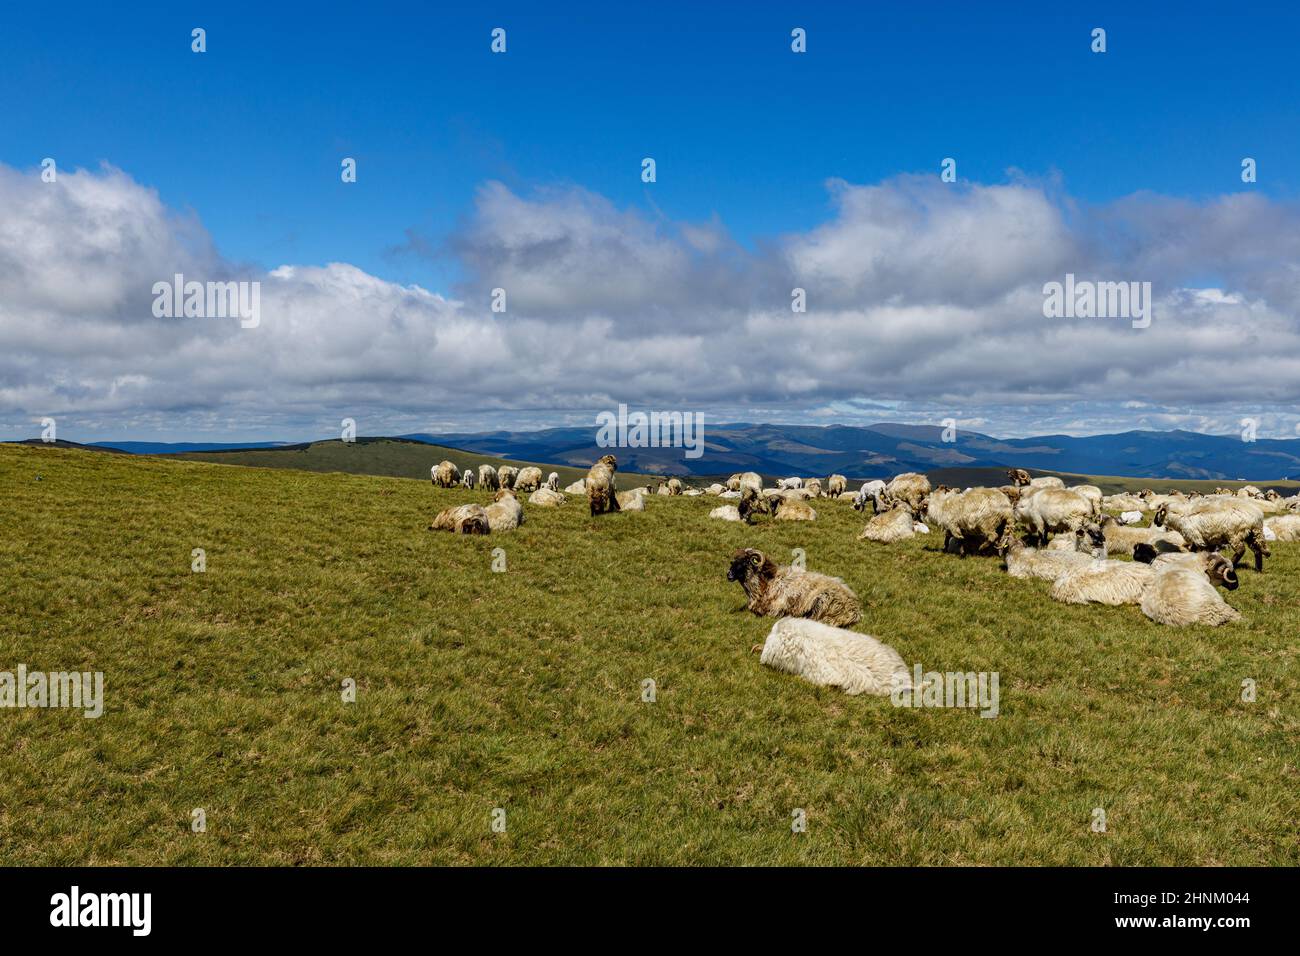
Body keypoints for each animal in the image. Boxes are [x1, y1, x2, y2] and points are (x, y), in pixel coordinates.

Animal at [728, 548, 857, 632]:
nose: (728, 575)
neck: (765, 584)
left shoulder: (775, 610)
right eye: (733, 562)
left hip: (823, 601)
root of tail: (855, 612)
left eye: (743, 563)